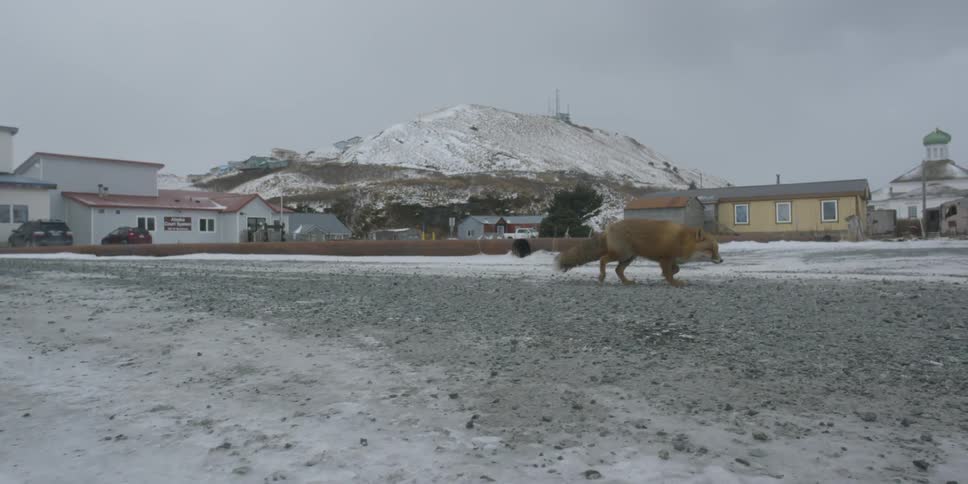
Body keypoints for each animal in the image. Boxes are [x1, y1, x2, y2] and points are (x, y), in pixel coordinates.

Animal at [554, 219, 723, 287]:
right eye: (710, 250)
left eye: (717, 249)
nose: (721, 260)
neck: (682, 240)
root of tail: (609, 227)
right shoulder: (665, 258)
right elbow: (669, 273)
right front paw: (674, 283)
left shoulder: (670, 259)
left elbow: (675, 269)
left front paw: (669, 276)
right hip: (621, 254)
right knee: (603, 260)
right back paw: (602, 277)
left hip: (629, 257)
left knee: (618, 270)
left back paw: (626, 282)